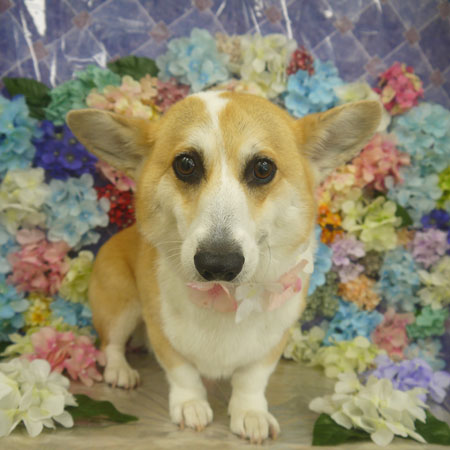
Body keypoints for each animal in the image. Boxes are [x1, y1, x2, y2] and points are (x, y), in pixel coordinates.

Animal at [67, 91, 380, 443]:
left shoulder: (273, 340)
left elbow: (251, 379)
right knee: (111, 343)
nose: (217, 264)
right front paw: (190, 405)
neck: (224, 296)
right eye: (185, 165)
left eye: (263, 168)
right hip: (122, 306)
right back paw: (120, 371)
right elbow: (183, 372)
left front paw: (251, 413)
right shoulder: (161, 330)